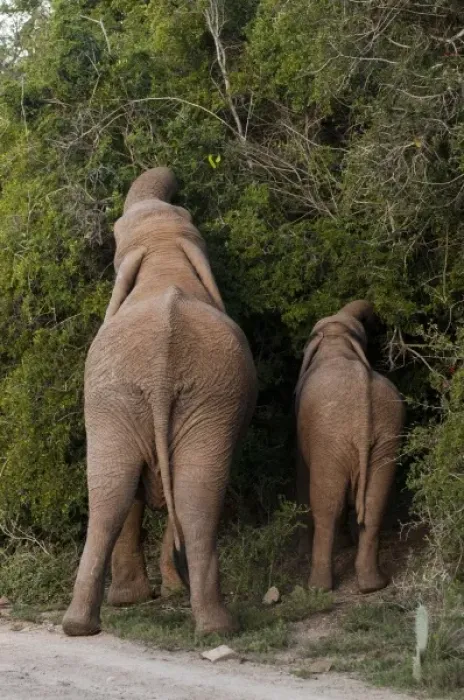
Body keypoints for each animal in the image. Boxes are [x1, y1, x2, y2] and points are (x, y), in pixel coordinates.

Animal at [62, 167, 257, 637]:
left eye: (115, 234)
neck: (165, 254)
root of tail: (162, 369)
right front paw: (154, 594)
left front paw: (157, 593)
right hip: (136, 399)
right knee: (156, 493)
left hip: (188, 400)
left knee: (149, 494)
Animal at [295, 300, 404, 593]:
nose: (378, 321)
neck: (336, 340)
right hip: (386, 436)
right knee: (375, 503)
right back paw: (373, 586)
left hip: (331, 440)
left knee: (327, 506)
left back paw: (318, 588)